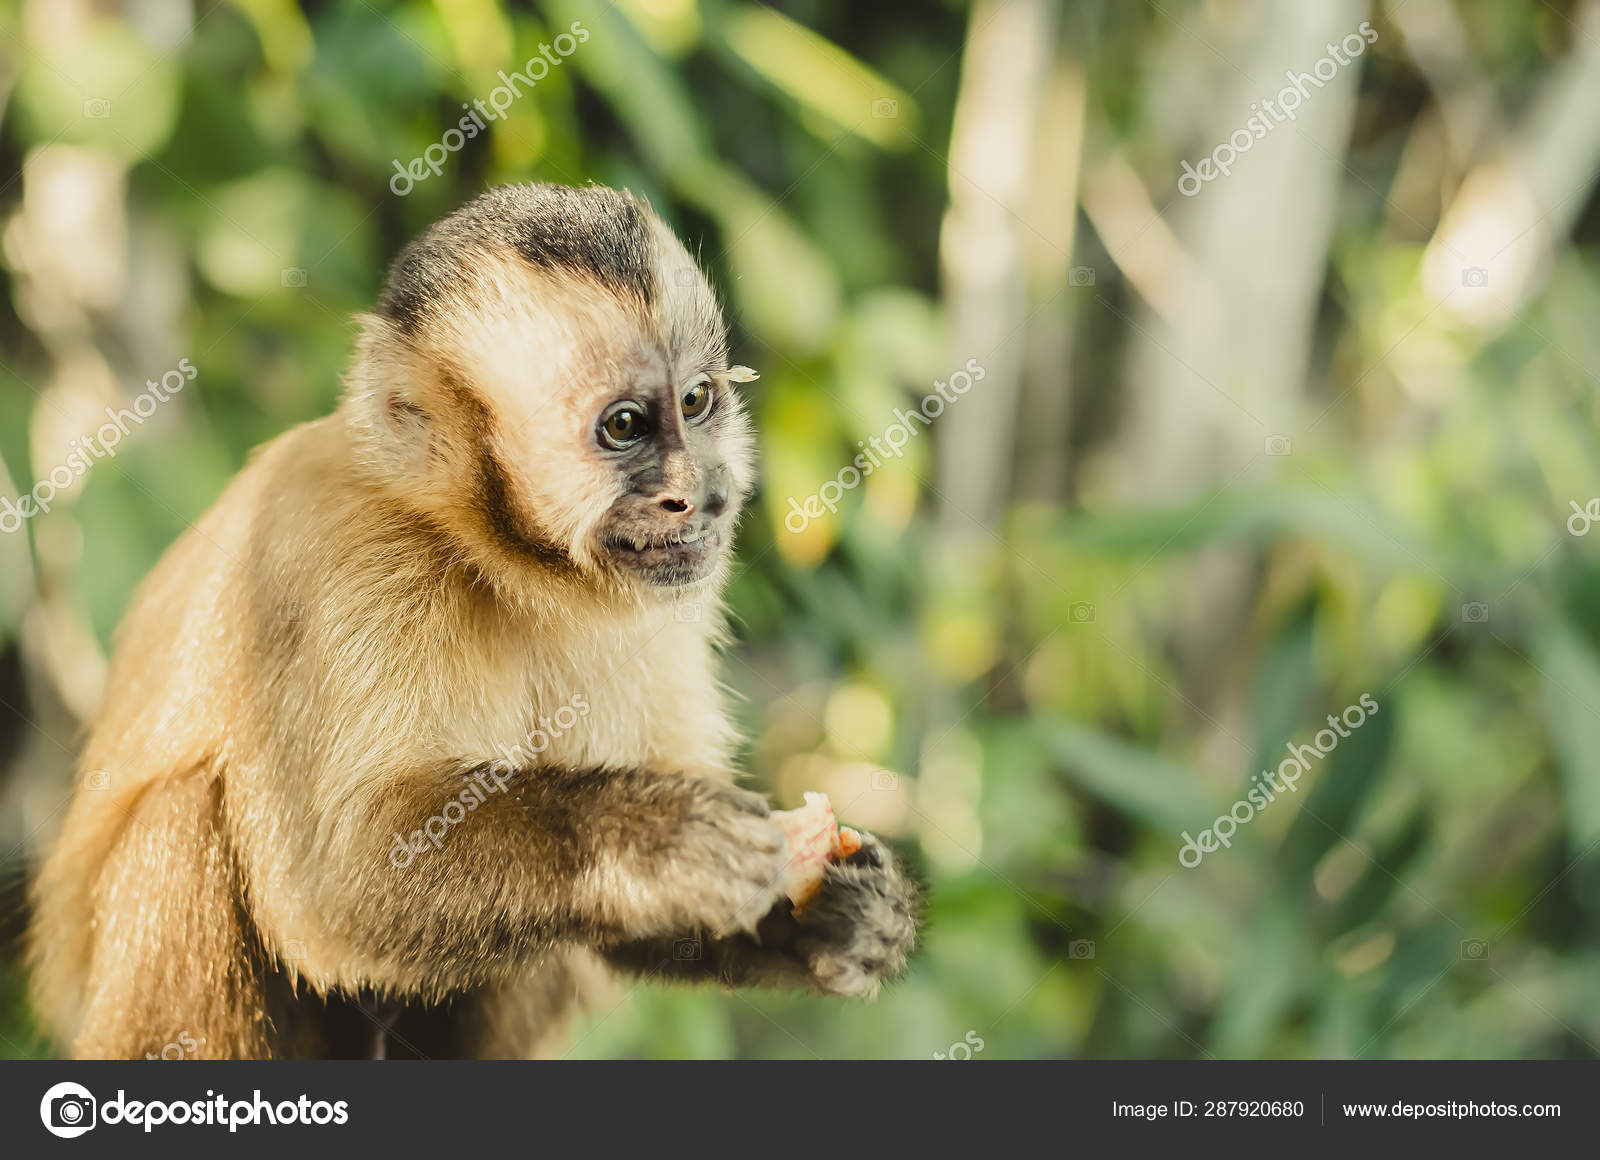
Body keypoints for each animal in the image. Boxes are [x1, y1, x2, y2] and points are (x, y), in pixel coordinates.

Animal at [28, 180, 915, 1056]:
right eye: (625, 426)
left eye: (696, 403)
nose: (697, 493)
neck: (498, 559)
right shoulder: (348, 558)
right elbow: (338, 886)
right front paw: (653, 838)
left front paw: (836, 918)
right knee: (184, 815)